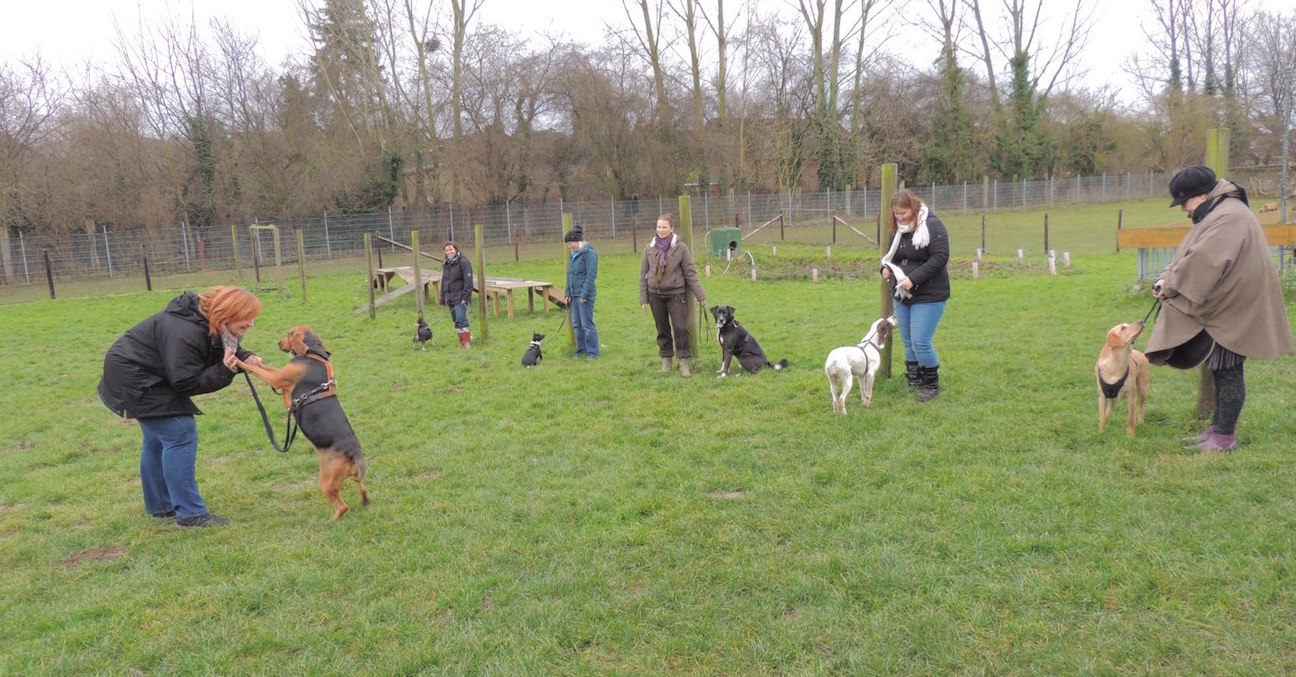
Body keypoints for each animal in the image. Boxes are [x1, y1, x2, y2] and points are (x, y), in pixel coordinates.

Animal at [235, 325, 370, 516]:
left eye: (289, 333)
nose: (278, 342)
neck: (313, 351)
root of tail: (354, 451)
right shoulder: (279, 374)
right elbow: (263, 366)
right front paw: (252, 360)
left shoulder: (277, 379)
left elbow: (256, 369)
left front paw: (236, 360)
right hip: (355, 476)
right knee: (362, 487)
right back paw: (365, 500)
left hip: (326, 482)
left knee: (342, 506)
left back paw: (333, 518)